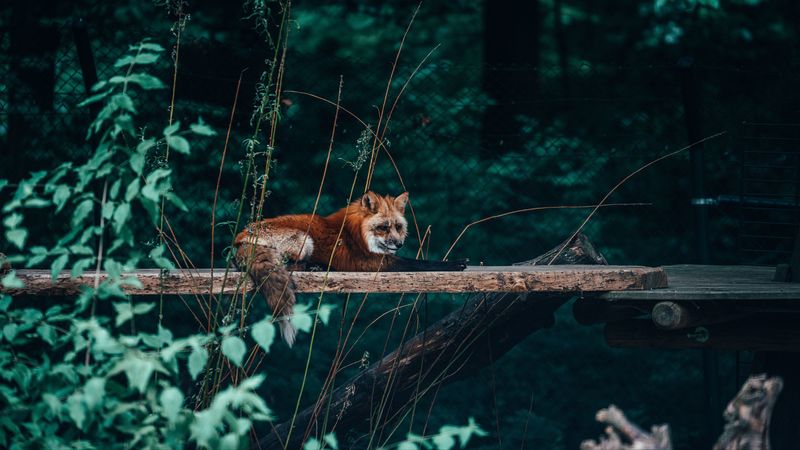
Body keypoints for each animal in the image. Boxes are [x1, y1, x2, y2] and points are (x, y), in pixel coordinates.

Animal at [234, 191, 466, 346]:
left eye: (398, 227)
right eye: (383, 227)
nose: (399, 244)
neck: (356, 233)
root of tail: (241, 238)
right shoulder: (375, 263)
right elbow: (423, 263)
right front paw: (456, 264)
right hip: (305, 240)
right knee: (292, 266)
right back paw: (318, 266)